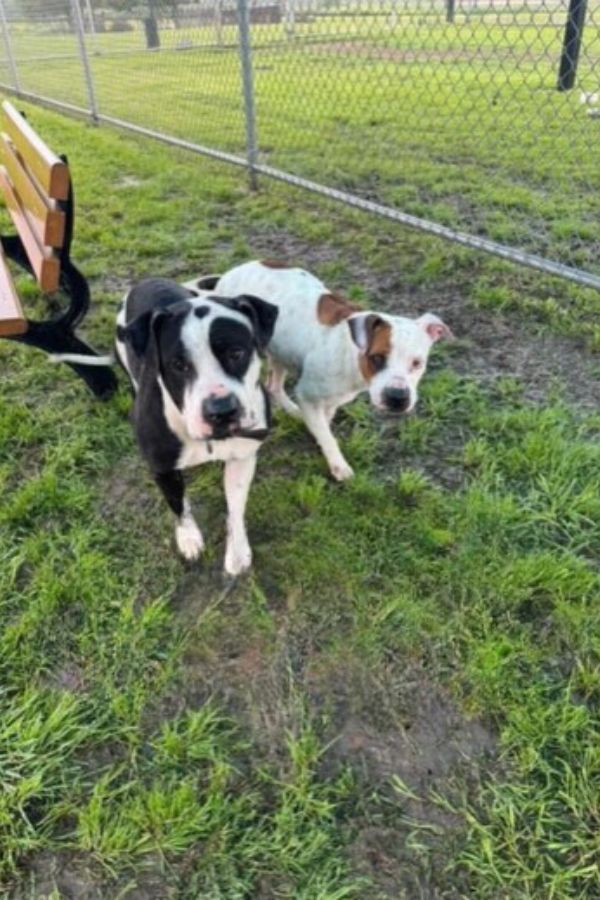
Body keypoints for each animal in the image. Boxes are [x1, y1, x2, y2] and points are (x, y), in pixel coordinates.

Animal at [115, 278, 278, 576]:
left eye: (236, 352)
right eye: (179, 365)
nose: (221, 410)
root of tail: (147, 280)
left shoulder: (243, 457)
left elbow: (236, 507)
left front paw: (237, 549)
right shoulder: (163, 469)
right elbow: (179, 505)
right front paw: (188, 537)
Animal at [190, 262, 452, 478]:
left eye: (417, 363)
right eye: (377, 358)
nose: (397, 397)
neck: (350, 353)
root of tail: (229, 274)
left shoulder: (333, 399)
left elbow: (325, 422)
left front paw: (317, 434)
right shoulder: (308, 395)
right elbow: (327, 434)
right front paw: (337, 463)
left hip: (280, 351)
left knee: (275, 385)